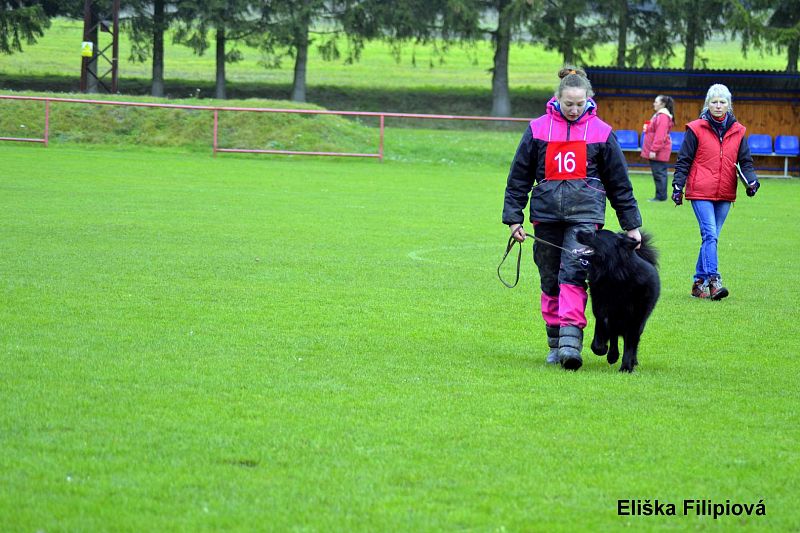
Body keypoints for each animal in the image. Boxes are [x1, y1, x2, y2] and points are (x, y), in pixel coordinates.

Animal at [580, 231, 660, 372]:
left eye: (595, 234)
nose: (576, 232)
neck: (615, 274)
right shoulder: (602, 313)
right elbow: (598, 342)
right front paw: (604, 349)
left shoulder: (635, 320)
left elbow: (630, 345)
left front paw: (626, 367)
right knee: (614, 335)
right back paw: (612, 354)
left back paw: (632, 360)